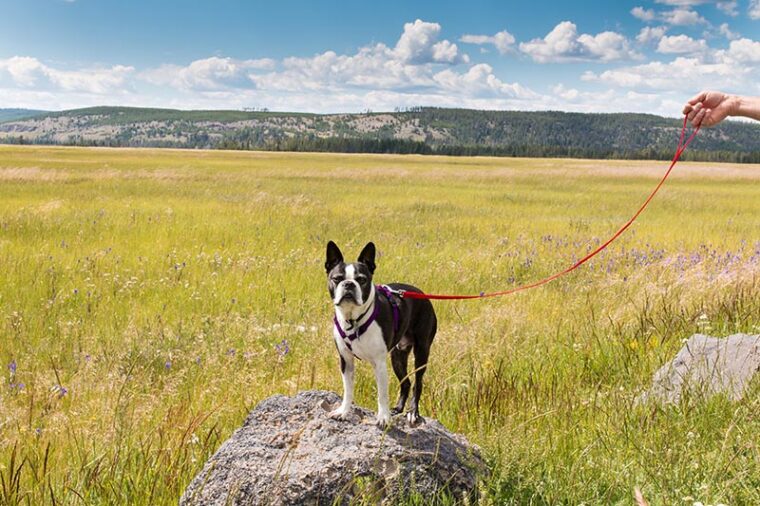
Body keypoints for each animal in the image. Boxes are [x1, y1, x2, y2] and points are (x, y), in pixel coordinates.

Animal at [324, 241, 436, 426]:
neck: (353, 320)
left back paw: (413, 412)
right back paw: (398, 408)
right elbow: (348, 389)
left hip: (422, 351)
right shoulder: (346, 360)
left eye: (362, 280)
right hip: (398, 356)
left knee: (417, 383)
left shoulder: (379, 363)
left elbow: (382, 394)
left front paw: (383, 417)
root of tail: (422, 294)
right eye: (337, 278)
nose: (349, 284)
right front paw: (343, 411)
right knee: (406, 383)